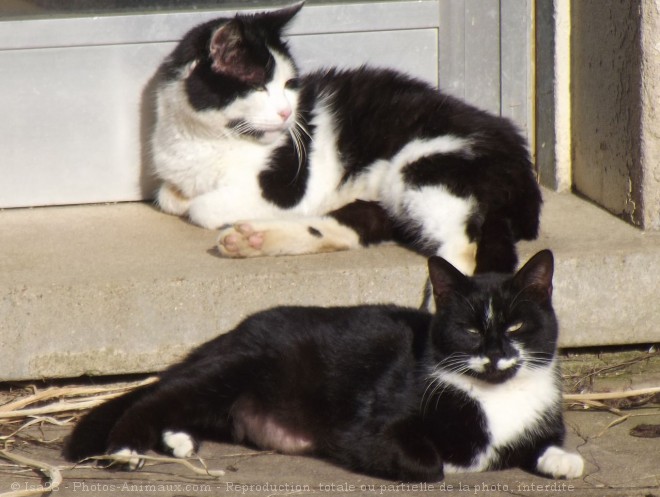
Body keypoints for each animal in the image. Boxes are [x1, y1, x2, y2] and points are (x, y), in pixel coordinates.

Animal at [63, 252, 584, 480]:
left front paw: (564, 459)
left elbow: (545, 442)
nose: (495, 355)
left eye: (516, 325)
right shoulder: (373, 426)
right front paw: (454, 462)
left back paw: (179, 440)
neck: (496, 396)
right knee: (155, 399)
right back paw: (126, 447)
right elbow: (431, 463)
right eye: (471, 331)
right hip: (228, 370)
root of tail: (234, 330)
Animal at [150, 3, 540, 274]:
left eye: (289, 84)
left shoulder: (286, 189)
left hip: (423, 167)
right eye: (259, 86)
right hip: (392, 197)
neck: (208, 137)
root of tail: (523, 165)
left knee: (461, 251)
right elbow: (168, 197)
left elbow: (201, 208)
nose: (287, 113)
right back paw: (251, 240)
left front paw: (199, 204)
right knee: (352, 226)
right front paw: (181, 197)